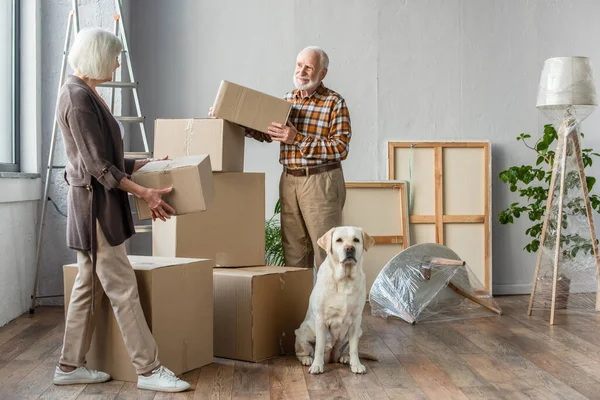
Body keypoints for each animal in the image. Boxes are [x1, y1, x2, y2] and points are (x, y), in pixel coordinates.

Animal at [296, 228, 376, 376]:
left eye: (356, 240)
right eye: (339, 240)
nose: (349, 248)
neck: (345, 279)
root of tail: (331, 358)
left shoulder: (356, 320)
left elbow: (354, 348)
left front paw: (356, 365)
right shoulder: (321, 320)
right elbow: (319, 347)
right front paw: (317, 366)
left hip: (359, 331)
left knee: (346, 350)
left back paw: (345, 358)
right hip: (302, 331)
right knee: (304, 350)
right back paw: (307, 359)